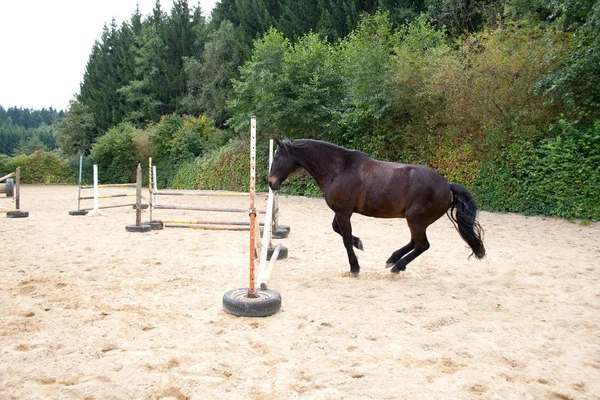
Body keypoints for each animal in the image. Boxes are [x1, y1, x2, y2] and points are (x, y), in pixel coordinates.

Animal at [270, 139, 486, 276]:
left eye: (278, 158)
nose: (271, 183)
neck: (339, 169)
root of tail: (446, 185)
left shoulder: (343, 212)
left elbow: (345, 239)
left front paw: (354, 267)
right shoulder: (341, 212)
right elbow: (337, 229)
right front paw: (359, 243)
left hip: (415, 220)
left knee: (422, 245)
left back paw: (397, 266)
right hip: (416, 221)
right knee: (415, 243)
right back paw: (393, 259)